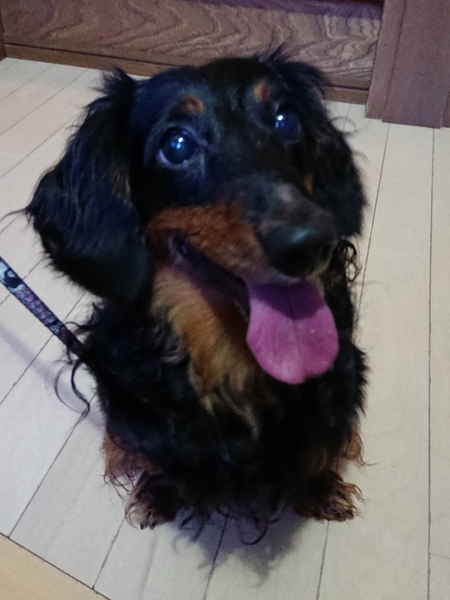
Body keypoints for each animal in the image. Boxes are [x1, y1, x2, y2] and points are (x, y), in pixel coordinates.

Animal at [26, 51, 367, 532]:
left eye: (286, 120)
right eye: (177, 145)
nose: (310, 242)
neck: (232, 357)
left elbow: (320, 446)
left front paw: (319, 489)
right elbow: (157, 458)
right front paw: (160, 493)